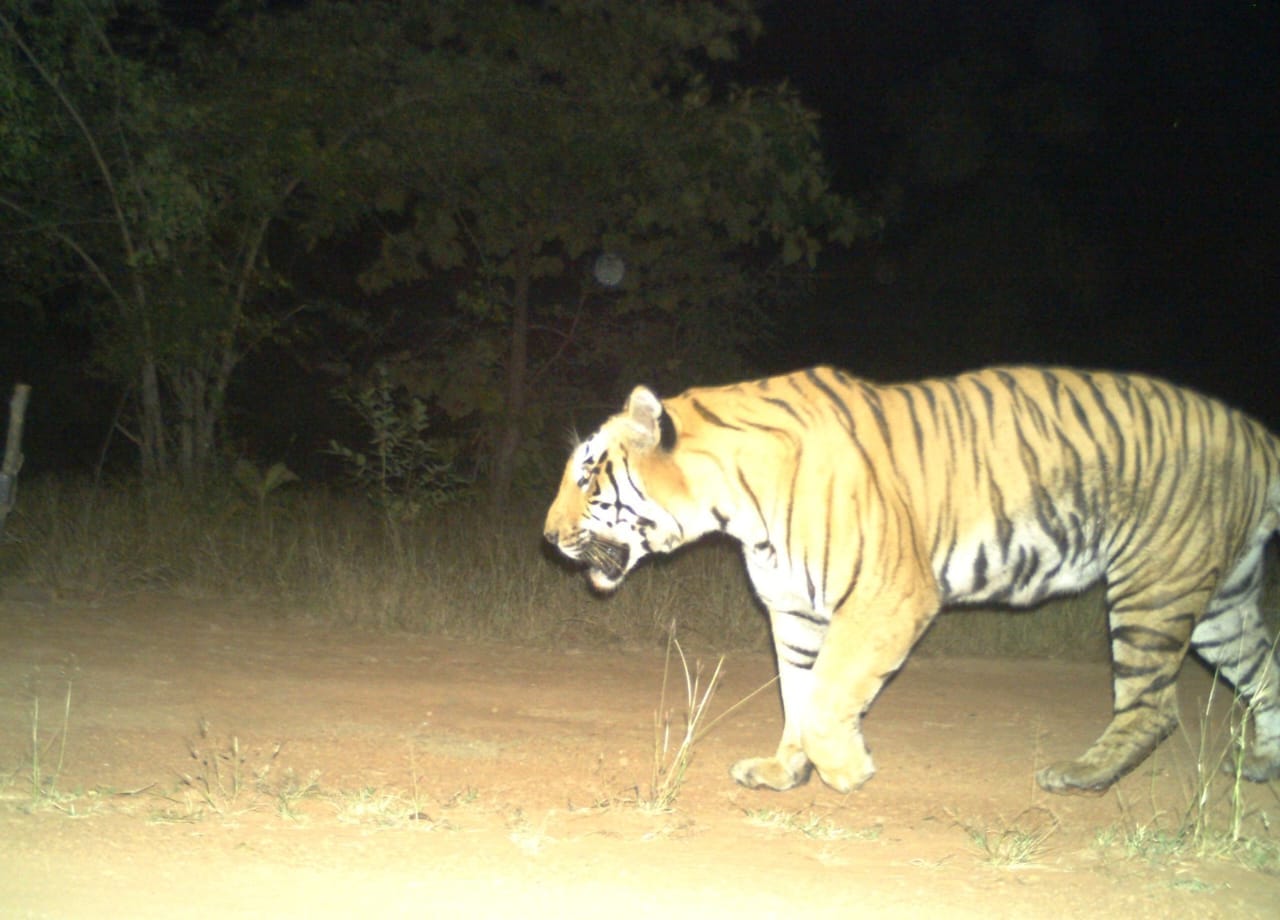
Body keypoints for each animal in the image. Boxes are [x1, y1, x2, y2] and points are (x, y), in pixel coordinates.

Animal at [543, 365, 1280, 795]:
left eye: (586, 481)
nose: (546, 537)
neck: (733, 508)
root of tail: (1252, 430)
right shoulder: (793, 610)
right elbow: (798, 695)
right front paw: (785, 772)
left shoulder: (887, 595)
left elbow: (825, 699)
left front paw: (845, 771)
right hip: (1219, 601)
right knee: (1265, 670)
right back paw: (1264, 765)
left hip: (1153, 586)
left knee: (1154, 707)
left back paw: (1080, 775)